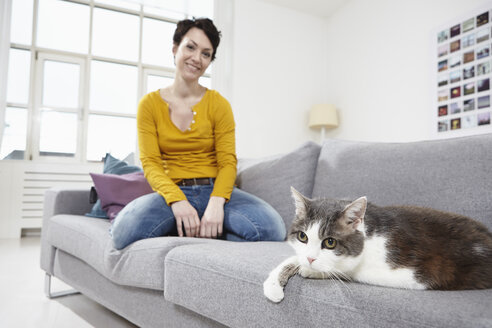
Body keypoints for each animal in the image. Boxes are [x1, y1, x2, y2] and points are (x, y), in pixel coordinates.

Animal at [264, 187, 492, 302]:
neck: (368, 236)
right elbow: (293, 258)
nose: (311, 259)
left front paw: (312, 270)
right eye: (303, 237)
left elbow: (346, 271)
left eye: (330, 242)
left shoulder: (414, 274)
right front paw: (274, 286)